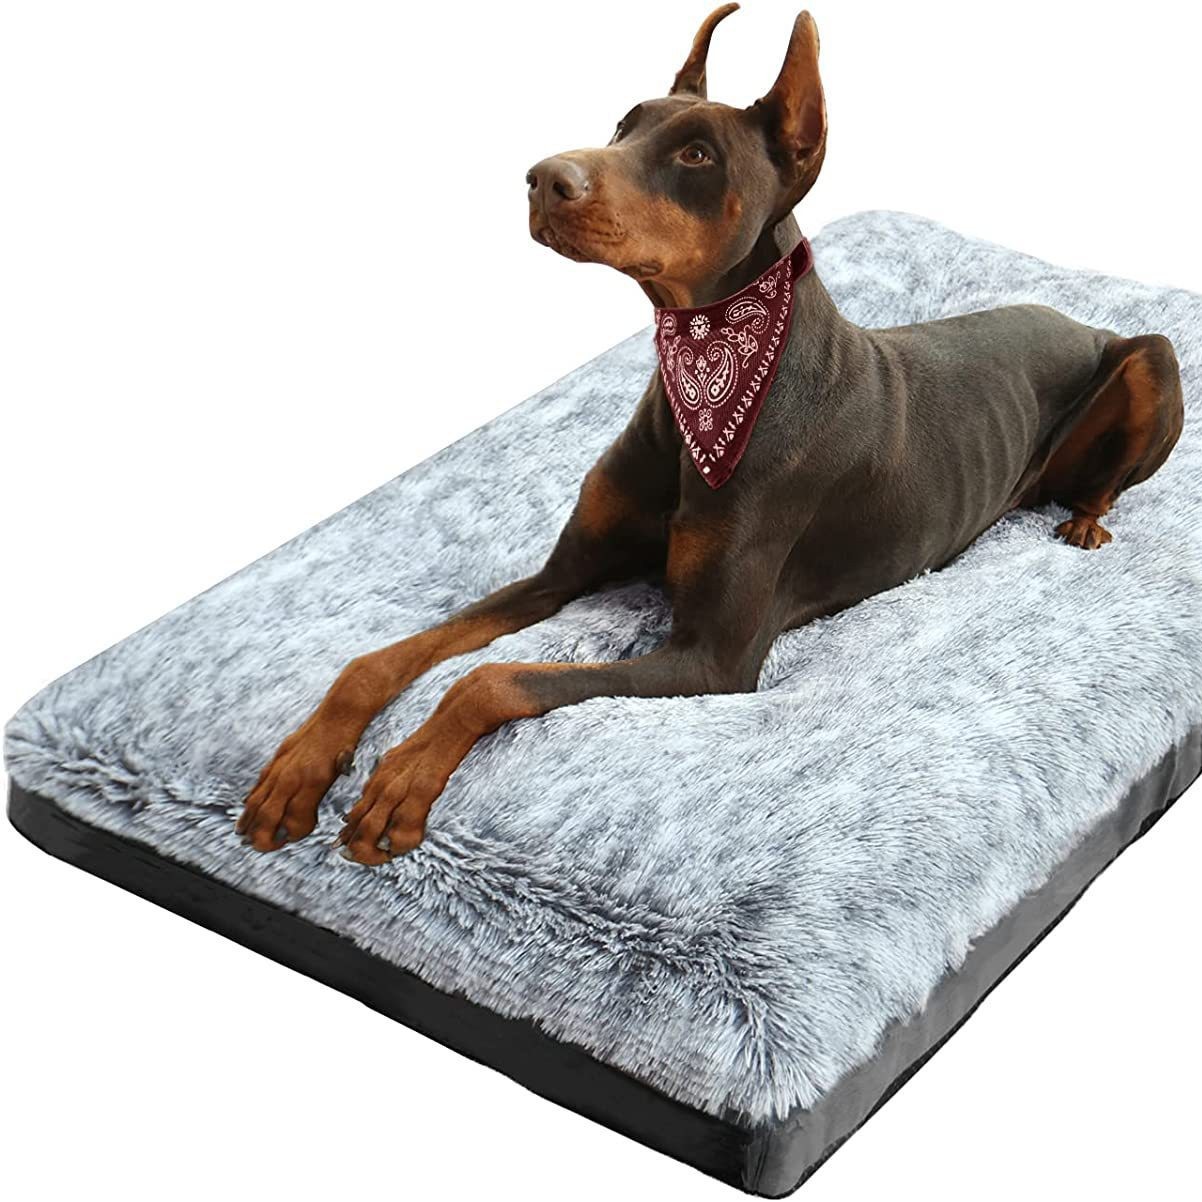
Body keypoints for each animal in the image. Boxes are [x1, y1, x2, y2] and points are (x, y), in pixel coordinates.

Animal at [237, 5, 1183, 865]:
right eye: (624, 124)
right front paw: (300, 767)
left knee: (1111, 467)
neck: (708, 379)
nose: (543, 177)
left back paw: (1086, 521)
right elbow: (386, 659)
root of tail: (1077, 319)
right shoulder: (565, 573)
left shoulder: (715, 661)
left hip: (1151, 357)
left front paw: (401, 779)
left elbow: (490, 678)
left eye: (697, 156)